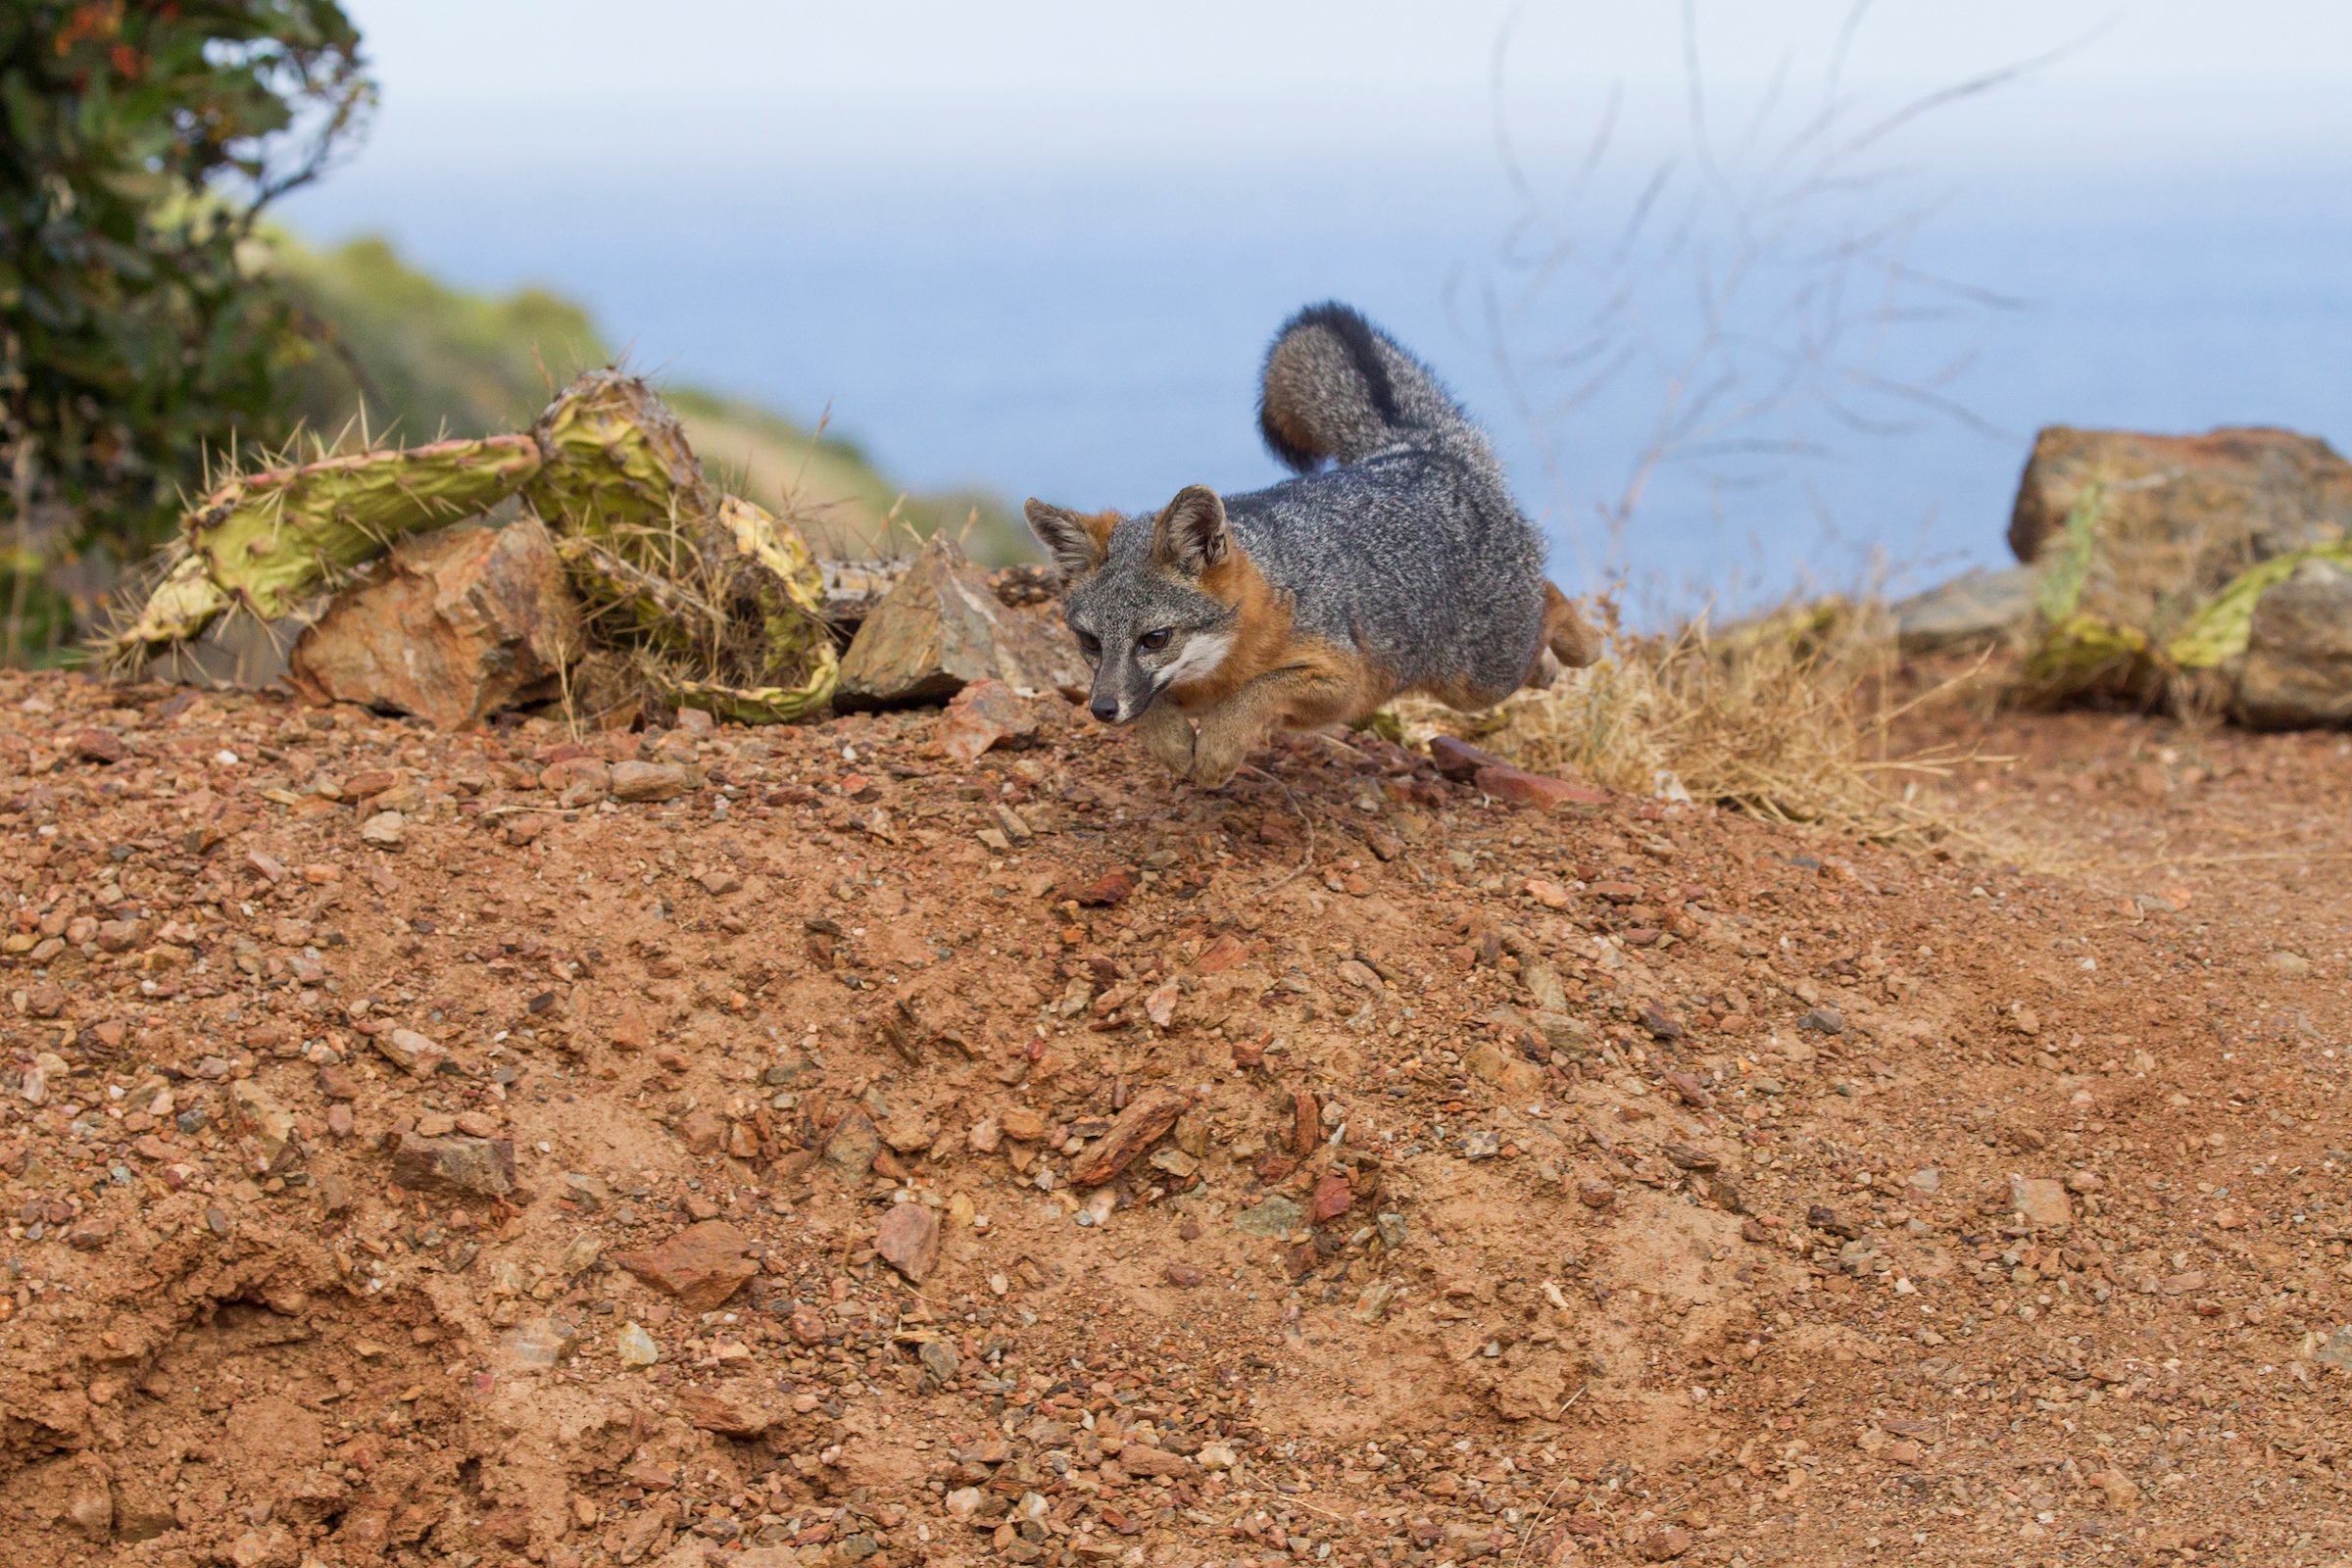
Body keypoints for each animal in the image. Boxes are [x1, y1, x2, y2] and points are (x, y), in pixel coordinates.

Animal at [1023, 301, 1601, 788]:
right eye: (1090, 642)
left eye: (1155, 639)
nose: (1101, 711)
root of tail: (1422, 451)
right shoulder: (1144, 689)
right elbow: (1154, 709)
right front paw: (1171, 745)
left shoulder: (1341, 685)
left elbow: (1256, 692)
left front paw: (1217, 752)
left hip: (1479, 676)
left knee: (1550, 599)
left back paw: (1585, 647)